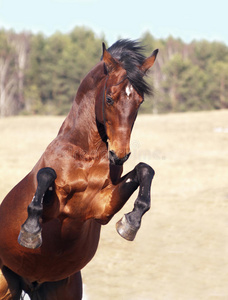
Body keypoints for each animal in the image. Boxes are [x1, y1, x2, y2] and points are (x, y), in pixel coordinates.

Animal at [0, 39, 158, 300]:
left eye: (140, 101)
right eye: (109, 98)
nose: (119, 155)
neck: (87, 156)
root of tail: (31, 282)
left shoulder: (101, 209)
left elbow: (145, 170)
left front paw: (130, 223)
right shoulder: (55, 209)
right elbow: (47, 175)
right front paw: (30, 231)